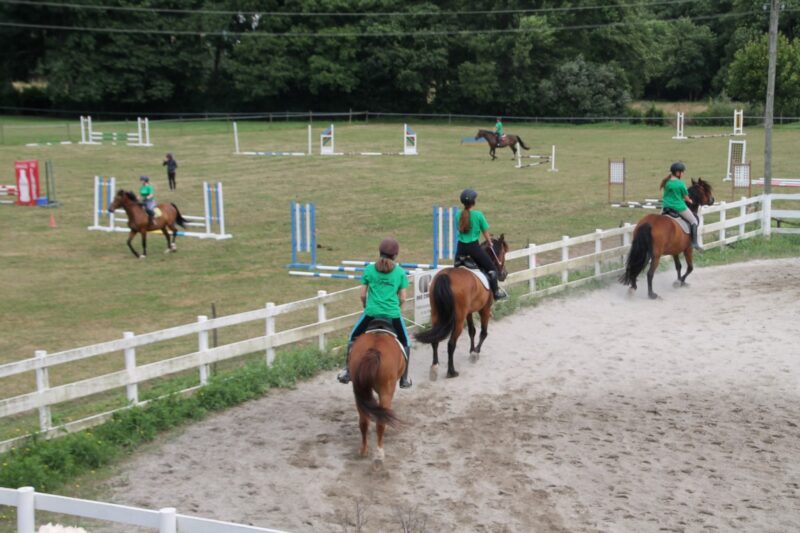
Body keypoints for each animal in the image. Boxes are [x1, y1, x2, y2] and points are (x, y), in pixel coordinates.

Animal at [350, 322, 406, 468]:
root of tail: (373, 350)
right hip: (386, 391)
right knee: (381, 422)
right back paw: (379, 455)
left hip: (359, 392)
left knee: (363, 421)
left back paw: (363, 450)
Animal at [416, 236, 510, 378]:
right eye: (503, 253)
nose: (504, 274)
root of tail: (446, 276)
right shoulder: (485, 309)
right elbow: (483, 333)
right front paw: (475, 353)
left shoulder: (468, 312)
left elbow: (472, 331)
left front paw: (471, 350)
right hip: (459, 319)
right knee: (451, 343)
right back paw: (451, 371)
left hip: (436, 314)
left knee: (435, 339)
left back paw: (434, 367)